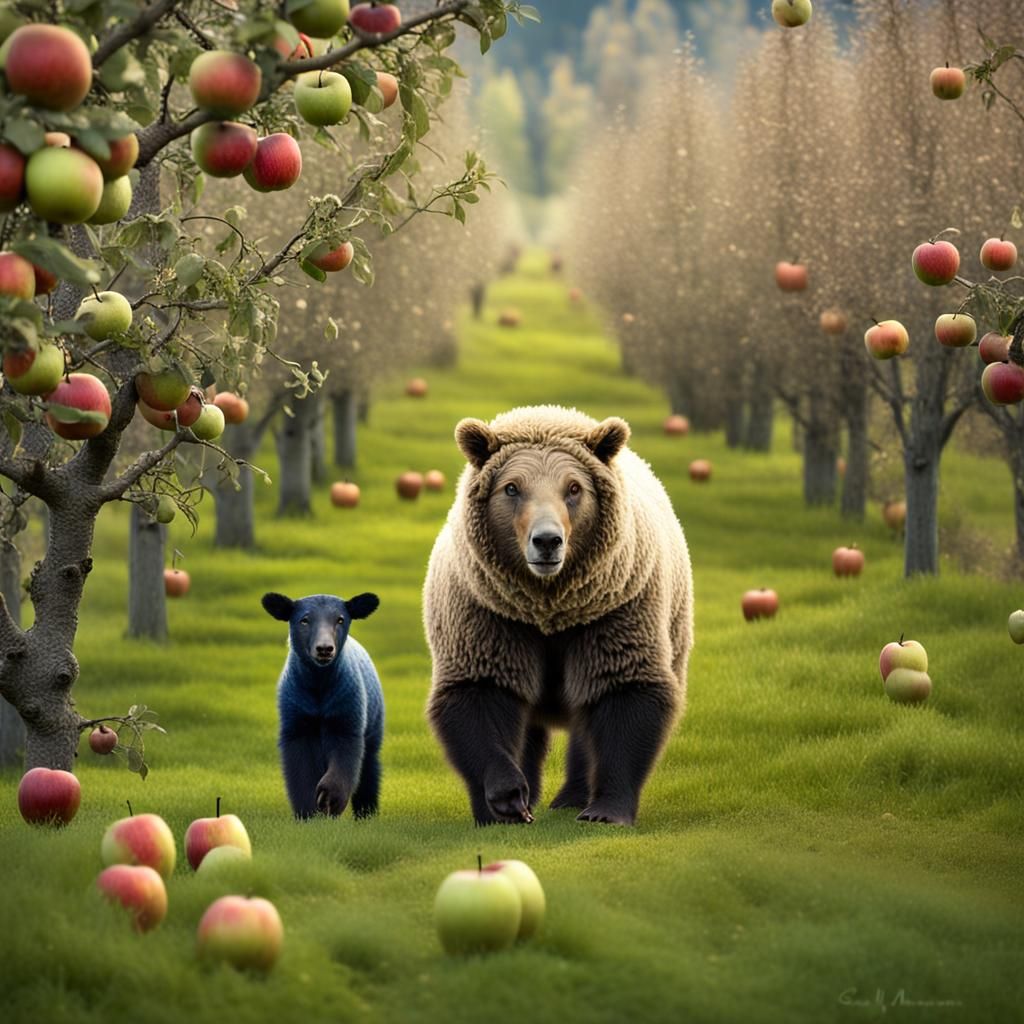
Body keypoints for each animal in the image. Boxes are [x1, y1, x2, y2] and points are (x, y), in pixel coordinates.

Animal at [262, 591, 384, 819]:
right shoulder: (296, 716)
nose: (325, 648)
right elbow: (300, 770)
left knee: (369, 767)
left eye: (340, 619)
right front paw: (309, 813)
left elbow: (346, 756)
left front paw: (329, 799)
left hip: (374, 721)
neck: (319, 684)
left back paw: (366, 813)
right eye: (304, 620)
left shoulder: (346, 709)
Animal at [423, 405, 693, 827]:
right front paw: (505, 800)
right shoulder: (488, 613)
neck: (549, 608)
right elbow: (481, 695)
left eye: (574, 488)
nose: (547, 541)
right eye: (512, 487)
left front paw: (605, 810)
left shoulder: (614, 611)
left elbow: (623, 692)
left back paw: (572, 796)